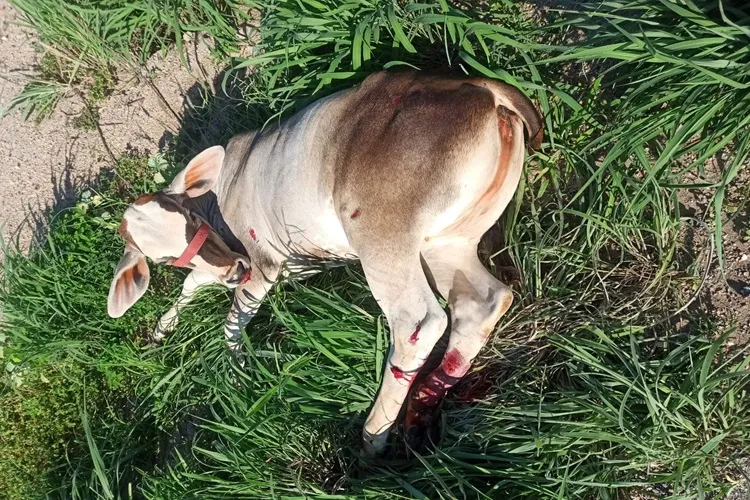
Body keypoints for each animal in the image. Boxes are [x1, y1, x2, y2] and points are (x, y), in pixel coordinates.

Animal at [107, 69, 543, 456]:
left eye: (189, 218)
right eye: (163, 258)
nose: (234, 270)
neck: (221, 192)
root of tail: (480, 88)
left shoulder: (262, 265)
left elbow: (233, 320)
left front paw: (238, 370)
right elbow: (191, 285)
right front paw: (161, 330)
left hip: (382, 233)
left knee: (419, 322)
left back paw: (372, 439)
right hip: (448, 242)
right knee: (482, 303)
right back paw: (419, 413)